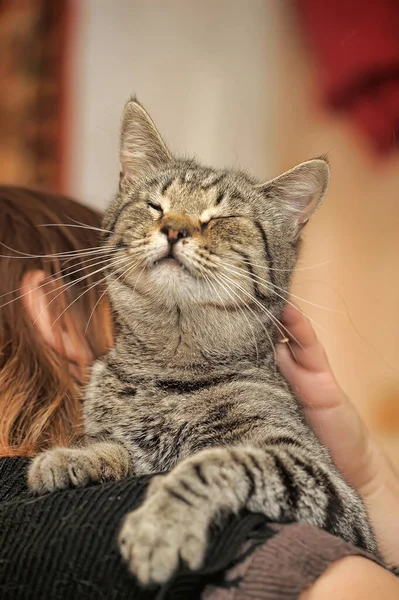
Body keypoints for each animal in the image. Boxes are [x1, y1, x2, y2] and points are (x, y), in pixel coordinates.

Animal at [28, 98, 378, 584]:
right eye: (156, 205)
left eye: (222, 217)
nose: (174, 229)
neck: (166, 366)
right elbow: (123, 450)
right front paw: (74, 457)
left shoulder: (321, 480)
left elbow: (216, 462)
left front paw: (162, 522)